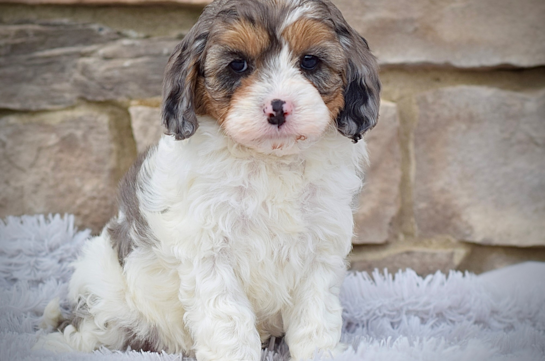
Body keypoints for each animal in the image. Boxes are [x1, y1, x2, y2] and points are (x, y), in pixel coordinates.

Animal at [36, 0, 380, 360]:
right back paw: (58, 344)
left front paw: (321, 353)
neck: (268, 161)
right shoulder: (209, 254)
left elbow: (316, 320)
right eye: (238, 65)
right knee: (91, 329)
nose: (277, 108)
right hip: (106, 295)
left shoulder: (320, 250)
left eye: (310, 61)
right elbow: (229, 321)